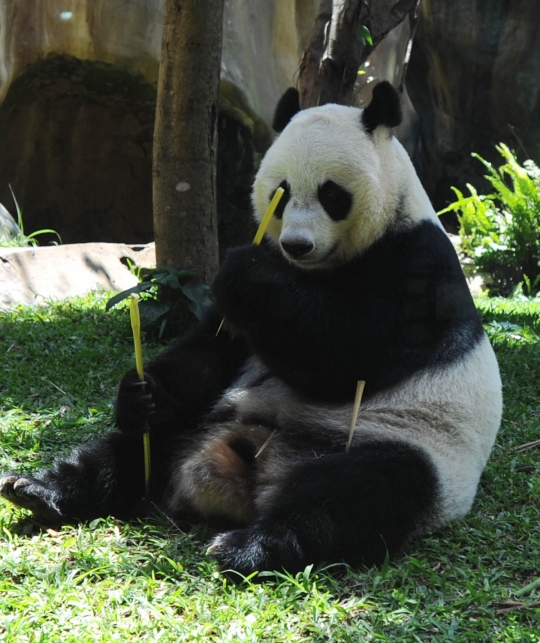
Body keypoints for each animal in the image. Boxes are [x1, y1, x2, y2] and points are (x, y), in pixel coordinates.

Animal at [0, 82, 502, 580]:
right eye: (281, 191)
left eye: (332, 194)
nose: (296, 245)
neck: (318, 269)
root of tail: (248, 479)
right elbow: (215, 348)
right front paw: (141, 393)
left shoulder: (416, 262)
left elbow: (350, 355)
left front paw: (246, 273)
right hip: (200, 425)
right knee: (129, 451)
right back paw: (40, 490)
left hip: (411, 450)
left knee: (356, 494)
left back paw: (249, 548)